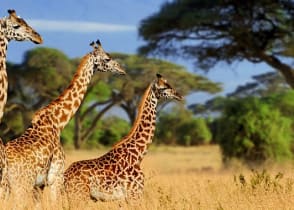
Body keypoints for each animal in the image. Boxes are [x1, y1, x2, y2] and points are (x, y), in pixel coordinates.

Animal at [3, 39, 125, 205]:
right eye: (107, 58)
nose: (122, 70)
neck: (58, 122)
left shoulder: (39, 185)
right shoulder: (56, 177)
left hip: (8, 187)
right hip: (21, 185)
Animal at [64, 73, 184, 204]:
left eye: (169, 84)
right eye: (164, 87)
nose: (179, 96)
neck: (138, 155)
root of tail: (64, 177)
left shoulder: (124, 199)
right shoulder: (134, 195)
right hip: (79, 196)